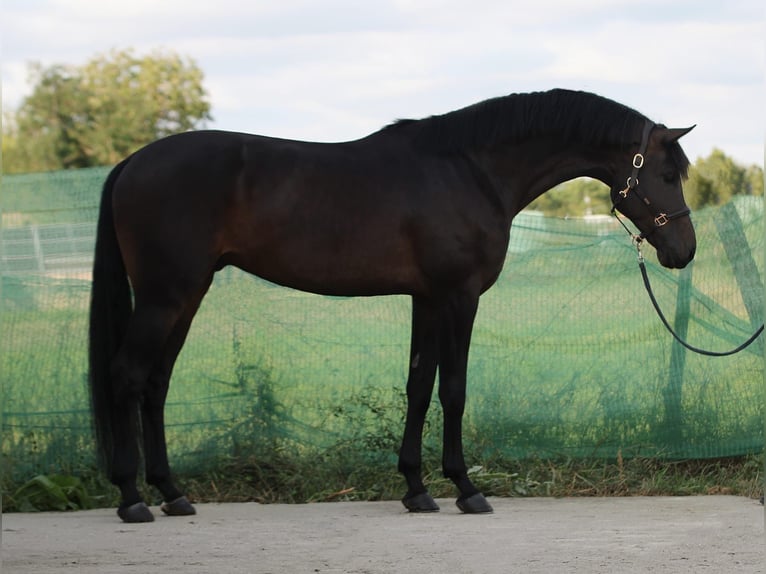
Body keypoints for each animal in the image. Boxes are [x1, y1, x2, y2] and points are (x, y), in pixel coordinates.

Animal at [88, 88, 696, 524]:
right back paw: (131, 498)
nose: (684, 251)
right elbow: (454, 391)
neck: (470, 169)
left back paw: (172, 494)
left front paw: (416, 489)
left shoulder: (426, 299)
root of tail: (130, 164)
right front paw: (466, 489)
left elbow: (418, 386)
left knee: (156, 383)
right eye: (667, 174)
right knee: (127, 375)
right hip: (166, 296)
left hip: (185, 297)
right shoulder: (459, 297)